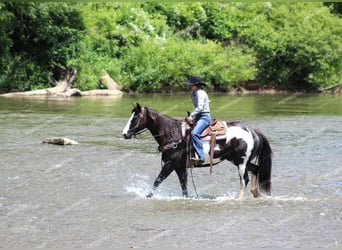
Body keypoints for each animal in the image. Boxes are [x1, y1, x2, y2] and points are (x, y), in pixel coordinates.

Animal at [123, 103, 272, 199]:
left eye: (136, 117)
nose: (125, 134)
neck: (174, 135)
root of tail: (253, 131)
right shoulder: (180, 168)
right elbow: (184, 188)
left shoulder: (169, 165)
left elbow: (157, 181)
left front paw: (146, 196)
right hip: (237, 160)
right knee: (256, 169)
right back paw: (256, 194)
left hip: (241, 162)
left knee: (244, 180)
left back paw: (239, 199)